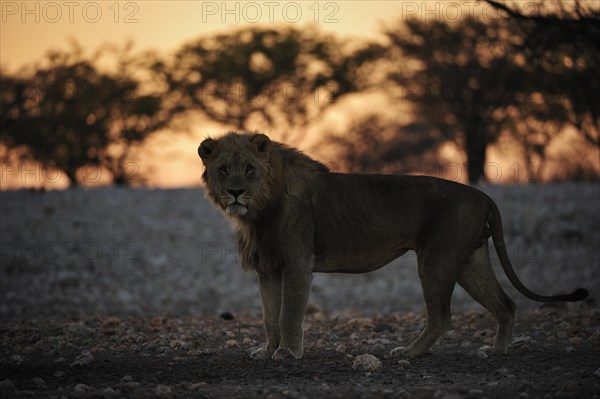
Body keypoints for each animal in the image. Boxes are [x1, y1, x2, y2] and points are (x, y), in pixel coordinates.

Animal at [197, 133, 584, 360]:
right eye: (223, 169)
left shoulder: (296, 264)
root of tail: (482, 194)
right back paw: (496, 351)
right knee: (506, 305)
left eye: (249, 169)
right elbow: (268, 317)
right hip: (470, 262)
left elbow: (288, 313)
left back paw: (409, 353)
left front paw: (289, 354)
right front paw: (266, 353)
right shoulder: (267, 270)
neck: (258, 212)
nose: (235, 192)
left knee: (442, 316)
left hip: (437, 259)